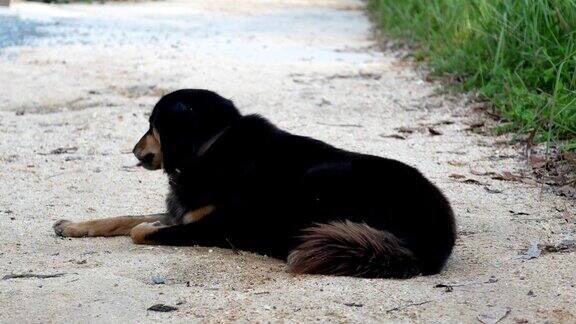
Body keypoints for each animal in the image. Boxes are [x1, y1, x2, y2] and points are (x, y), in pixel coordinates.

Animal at [55, 88, 460, 278]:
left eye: (153, 125)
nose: (134, 151)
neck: (211, 146)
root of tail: (439, 237)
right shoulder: (185, 211)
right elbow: (123, 218)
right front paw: (73, 225)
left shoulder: (210, 226)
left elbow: (140, 229)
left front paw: (143, 228)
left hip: (322, 180)